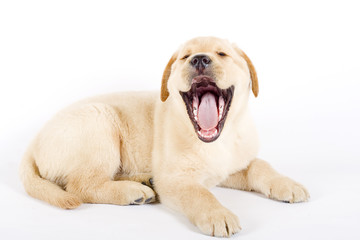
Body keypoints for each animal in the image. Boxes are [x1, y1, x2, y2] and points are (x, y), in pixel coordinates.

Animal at [19, 36, 308, 237]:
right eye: (185, 56)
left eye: (222, 54)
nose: (199, 59)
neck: (218, 140)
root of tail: (32, 144)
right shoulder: (176, 178)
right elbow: (199, 194)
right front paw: (218, 214)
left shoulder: (229, 168)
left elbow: (260, 165)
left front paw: (287, 184)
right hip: (99, 122)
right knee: (81, 186)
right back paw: (133, 191)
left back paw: (144, 181)